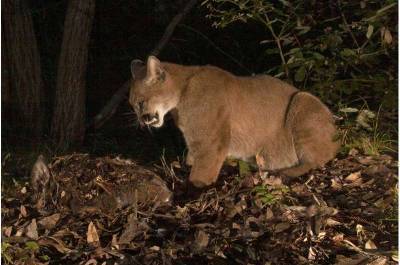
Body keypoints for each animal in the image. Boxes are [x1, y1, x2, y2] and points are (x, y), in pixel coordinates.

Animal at [130, 56, 340, 187]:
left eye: (140, 103)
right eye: (132, 105)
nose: (140, 121)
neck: (182, 92)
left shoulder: (210, 145)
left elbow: (200, 176)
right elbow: (189, 161)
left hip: (303, 99)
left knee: (319, 158)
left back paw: (283, 173)